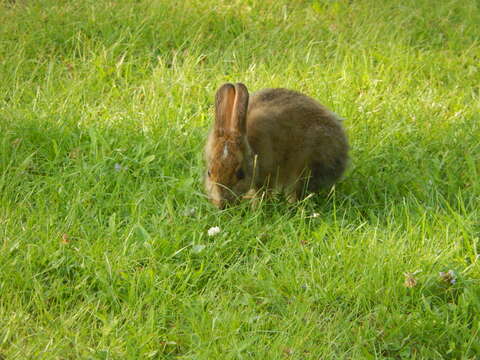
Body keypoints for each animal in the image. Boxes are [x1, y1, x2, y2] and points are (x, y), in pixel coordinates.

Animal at [203, 82, 348, 208]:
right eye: (209, 172)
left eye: (240, 174)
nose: (221, 205)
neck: (251, 147)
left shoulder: (268, 174)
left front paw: (257, 208)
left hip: (304, 170)